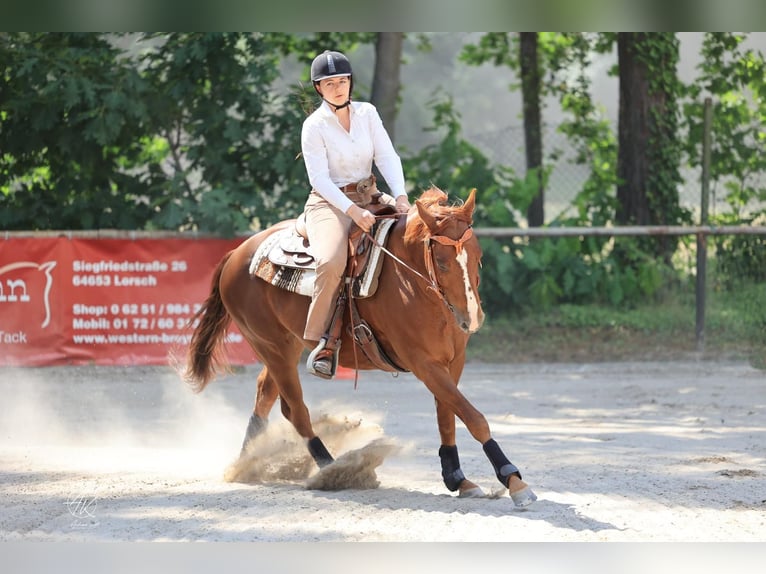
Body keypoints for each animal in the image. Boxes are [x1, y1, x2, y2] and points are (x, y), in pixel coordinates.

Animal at [183, 186, 537, 507]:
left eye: (478, 256)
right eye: (442, 261)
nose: (472, 318)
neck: (411, 283)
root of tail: (237, 254)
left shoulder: (452, 361)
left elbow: (447, 416)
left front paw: (457, 478)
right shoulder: (424, 364)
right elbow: (473, 417)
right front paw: (513, 479)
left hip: (285, 346)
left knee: (267, 396)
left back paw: (247, 461)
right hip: (272, 347)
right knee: (295, 409)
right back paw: (331, 468)